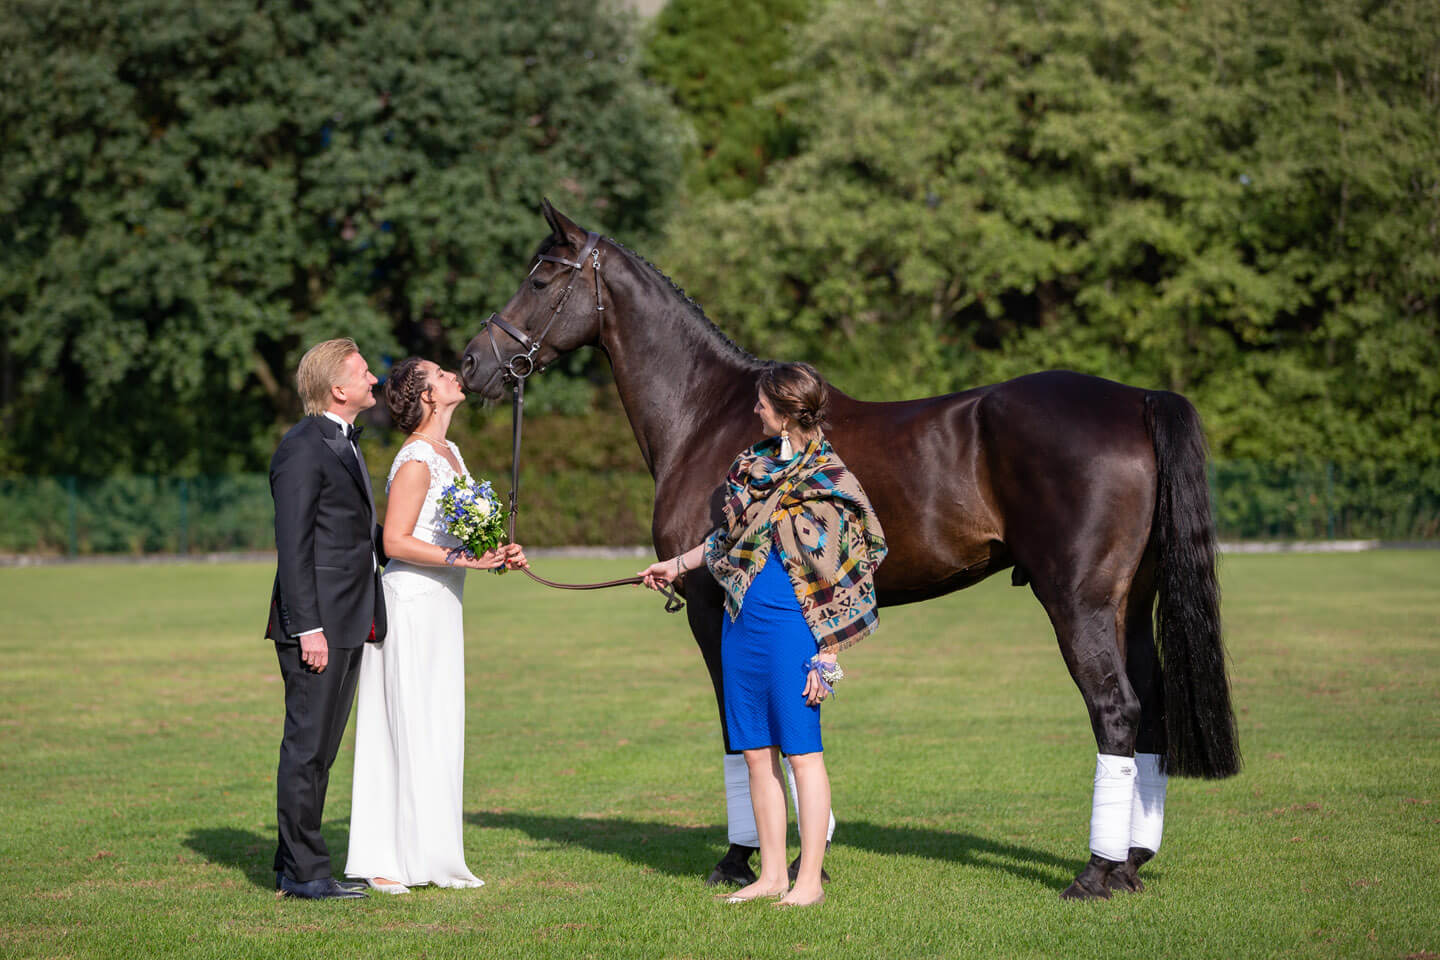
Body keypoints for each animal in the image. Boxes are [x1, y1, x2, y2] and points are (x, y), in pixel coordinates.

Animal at [460, 201, 1240, 900]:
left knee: (1116, 709)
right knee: (1151, 710)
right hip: (1130, 602)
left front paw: (740, 860)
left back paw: (1096, 874)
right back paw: (1130, 863)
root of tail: (1136, 398)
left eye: (541, 278)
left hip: (1079, 600)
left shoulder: (715, 607)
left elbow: (739, 730)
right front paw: (808, 846)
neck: (707, 413)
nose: (472, 365)